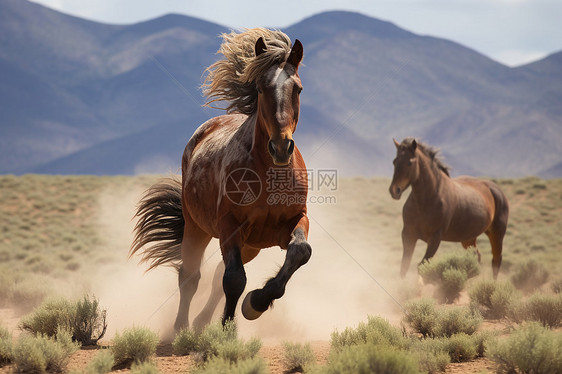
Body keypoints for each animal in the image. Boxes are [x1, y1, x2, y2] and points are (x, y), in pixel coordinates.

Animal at [130, 28, 310, 330]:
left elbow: (300, 251)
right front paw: (227, 329)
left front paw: (255, 303)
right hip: (197, 229)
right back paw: (180, 329)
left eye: (297, 88)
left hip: (251, 245)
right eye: (260, 88)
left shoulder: (294, 221)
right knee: (190, 276)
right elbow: (235, 279)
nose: (280, 147)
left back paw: (201, 322)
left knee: (214, 278)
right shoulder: (230, 227)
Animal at [390, 139, 508, 280]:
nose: (394, 190)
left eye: (410, 162)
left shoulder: (435, 238)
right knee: (476, 257)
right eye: (395, 161)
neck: (426, 200)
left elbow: (422, 266)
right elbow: (404, 267)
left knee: (496, 261)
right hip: (468, 239)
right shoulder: (408, 234)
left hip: (497, 235)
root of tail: (496, 190)